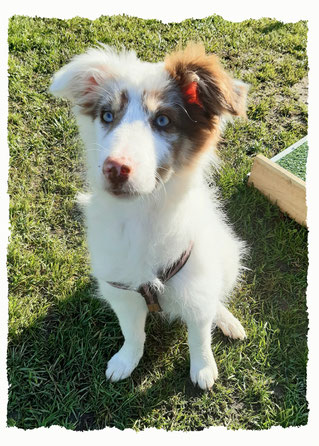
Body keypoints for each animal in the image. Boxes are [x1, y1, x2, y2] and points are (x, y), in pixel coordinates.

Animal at [50, 42, 250, 390]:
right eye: (107, 116)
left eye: (163, 120)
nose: (115, 168)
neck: (142, 213)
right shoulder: (121, 291)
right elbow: (132, 332)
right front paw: (126, 361)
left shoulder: (196, 287)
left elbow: (199, 334)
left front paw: (202, 367)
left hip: (228, 256)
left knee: (217, 296)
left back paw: (226, 320)